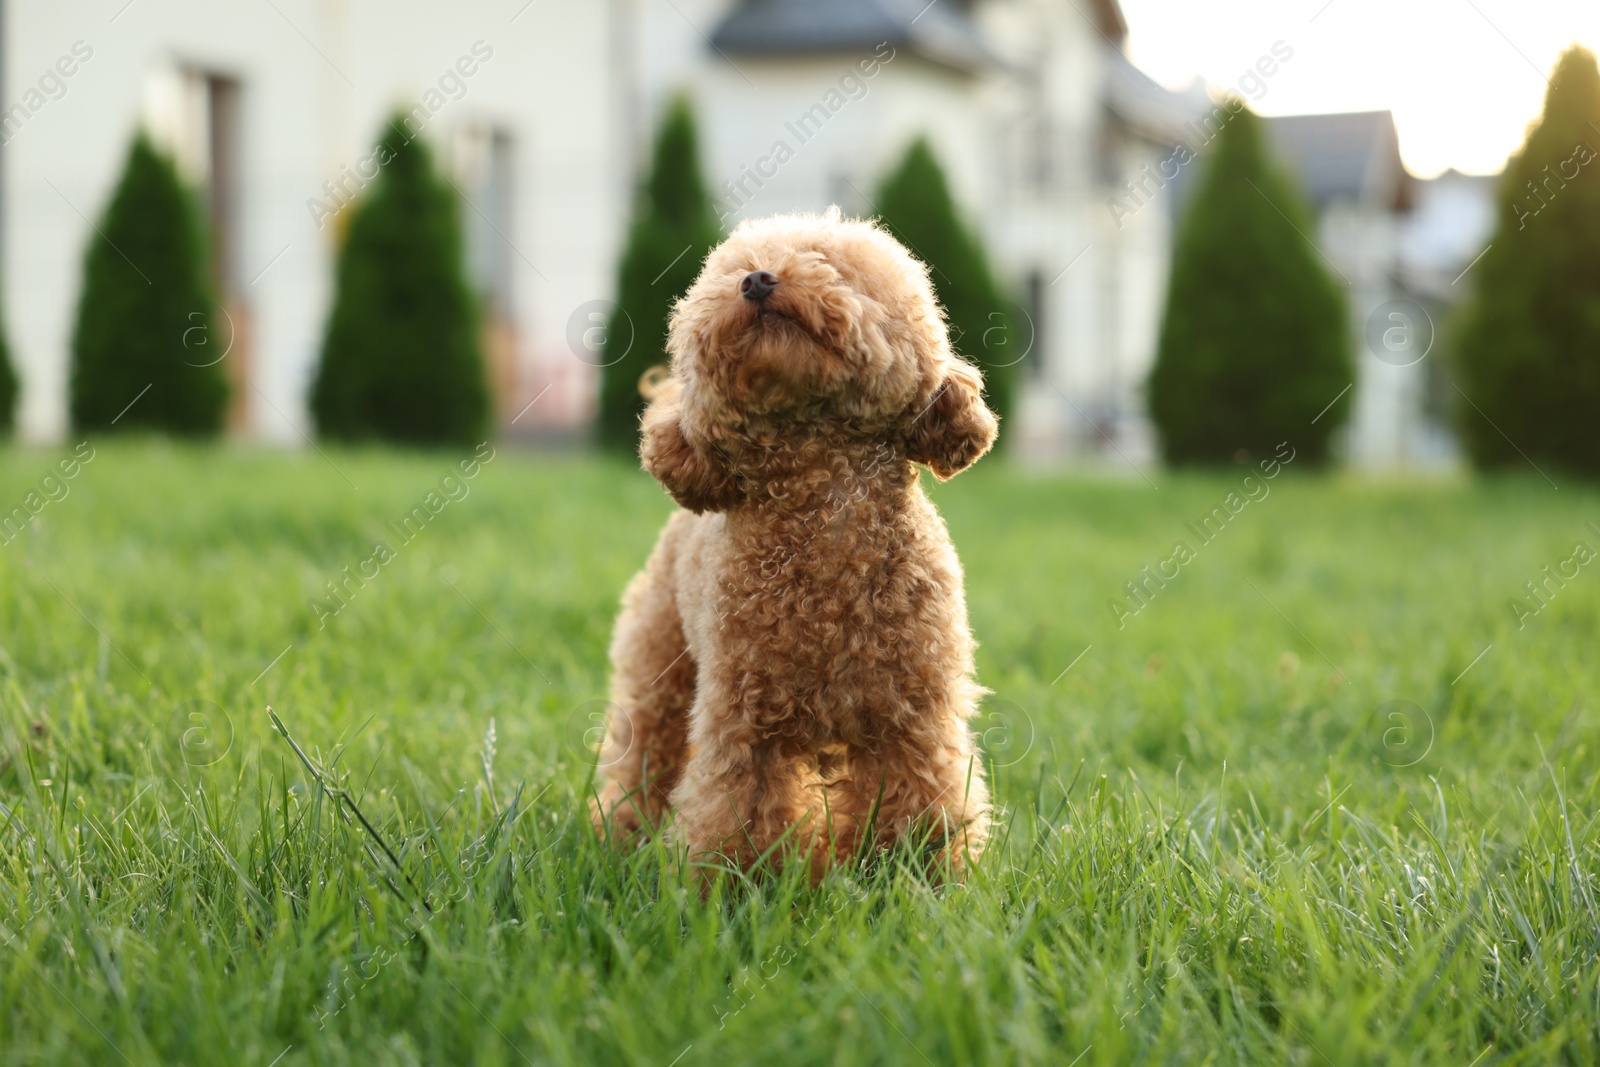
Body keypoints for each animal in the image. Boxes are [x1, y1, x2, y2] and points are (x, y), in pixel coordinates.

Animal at [595, 206, 992, 876]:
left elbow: (921, 807)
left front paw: (912, 881)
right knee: (642, 760)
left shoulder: (911, 718)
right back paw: (621, 841)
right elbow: (738, 812)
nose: (757, 280)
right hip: (661, 671)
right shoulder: (744, 722)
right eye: (733, 270)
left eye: (829, 265)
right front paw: (739, 887)